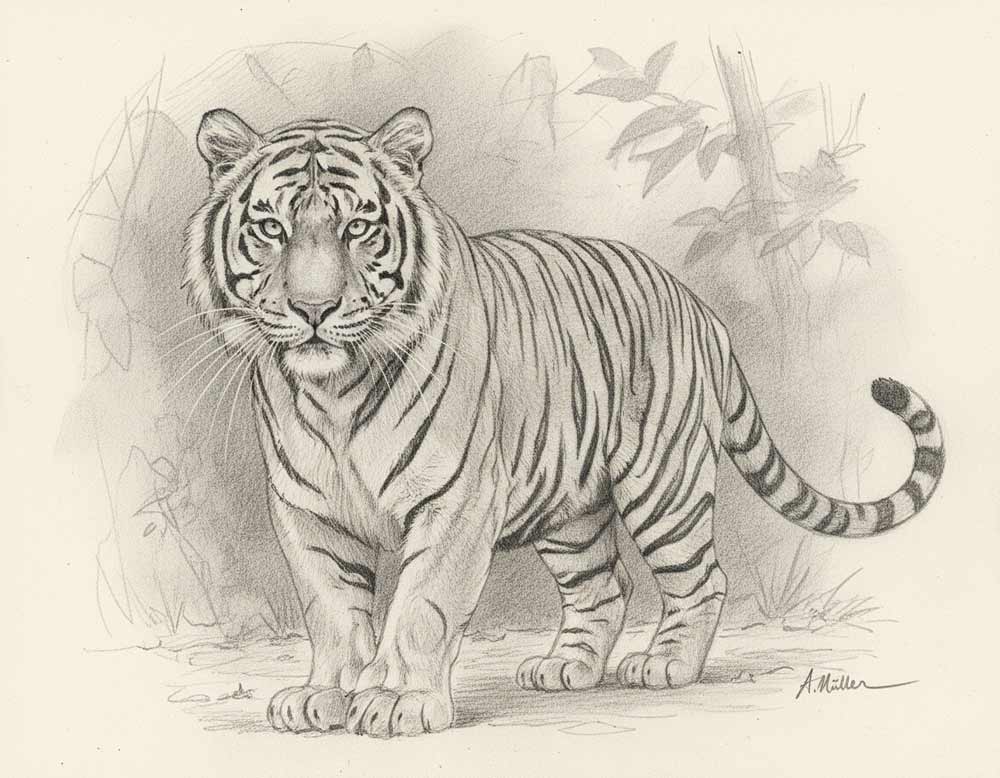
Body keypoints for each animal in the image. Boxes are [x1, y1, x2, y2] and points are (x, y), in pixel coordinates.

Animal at [185, 105, 944, 738]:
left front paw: (398, 702)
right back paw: (564, 668)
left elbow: (423, 604)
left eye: (357, 229)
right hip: (571, 506)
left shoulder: (455, 501)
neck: (333, 392)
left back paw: (666, 665)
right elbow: (332, 610)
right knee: (605, 586)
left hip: (662, 486)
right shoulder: (307, 508)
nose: (313, 309)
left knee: (701, 579)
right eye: (271, 228)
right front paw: (327, 696)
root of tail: (700, 309)